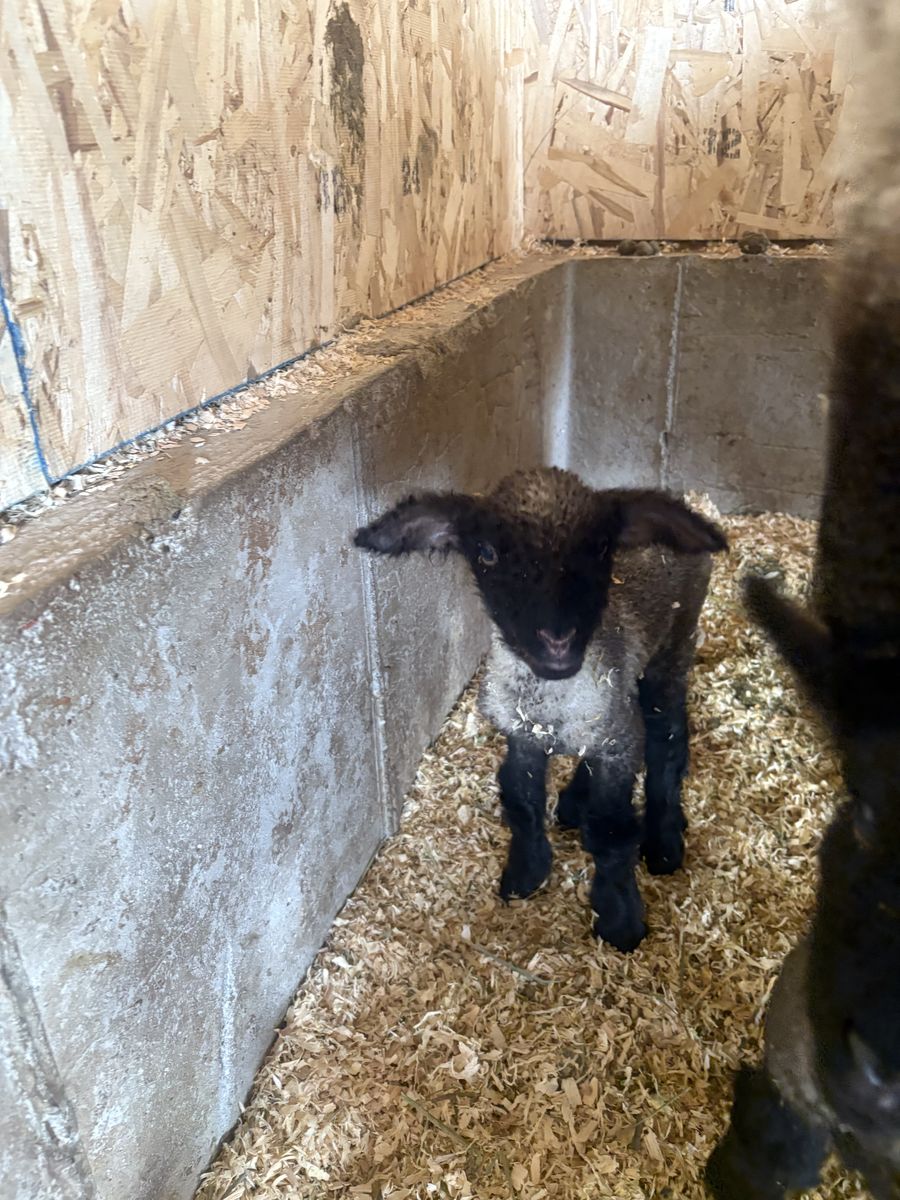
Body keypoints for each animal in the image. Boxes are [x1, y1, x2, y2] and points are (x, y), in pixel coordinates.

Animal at [354, 467, 726, 952]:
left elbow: (611, 830)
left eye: (601, 548)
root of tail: (684, 495)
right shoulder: (523, 734)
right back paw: (573, 802)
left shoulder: (616, 743)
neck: (552, 704)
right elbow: (522, 801)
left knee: (667, 738)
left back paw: (664, 841)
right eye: (487, 552)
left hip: (675, 642)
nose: (557, 639)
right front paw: (525, 872)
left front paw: (619, 919)